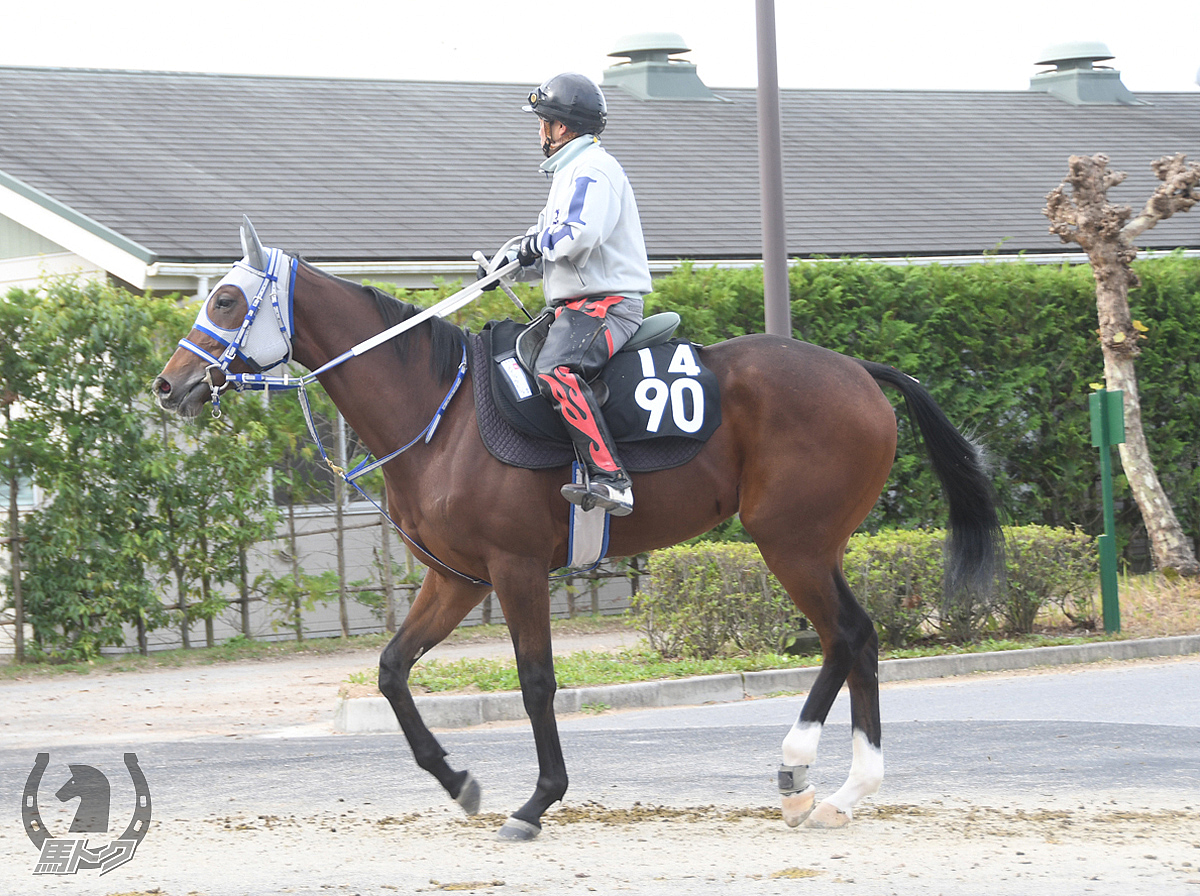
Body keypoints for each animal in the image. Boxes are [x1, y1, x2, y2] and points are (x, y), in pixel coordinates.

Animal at [159, 217, 1003, 839]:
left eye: (226, 300)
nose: (169, 386)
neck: (442, 412)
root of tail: (860, 372)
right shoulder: (457, 577)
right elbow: (393, 670)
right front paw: (459, 782)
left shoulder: (515, 567)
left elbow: (535, 682)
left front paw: (538, 801)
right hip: (807, 545)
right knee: (850, 640)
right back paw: (826, 786)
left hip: (791, 540)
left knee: (850, 636)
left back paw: (816, 776)